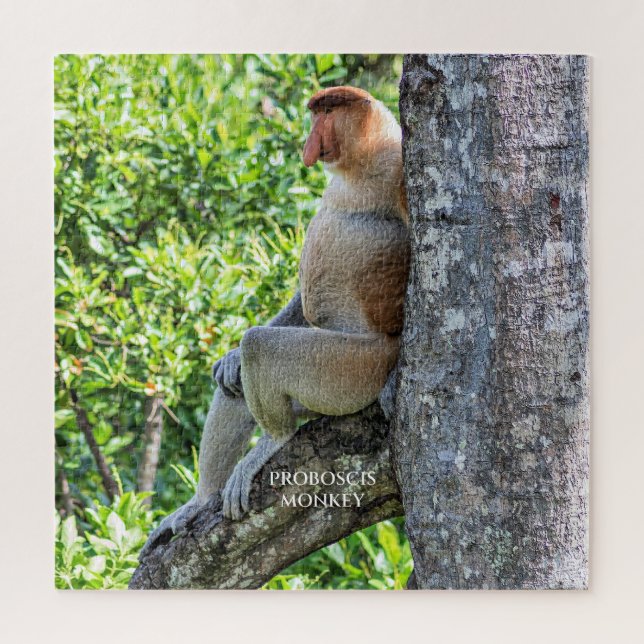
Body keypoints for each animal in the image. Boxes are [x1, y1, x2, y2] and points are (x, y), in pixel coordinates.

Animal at [147, 85, 409, 540]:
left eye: (326, 112)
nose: (309, 144)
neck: (361, 165)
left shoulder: (401, 170)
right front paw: (229, 359)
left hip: (352, 370)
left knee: (262, 348)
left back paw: (274, 440)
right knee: (236, 384)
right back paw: (199, 500)